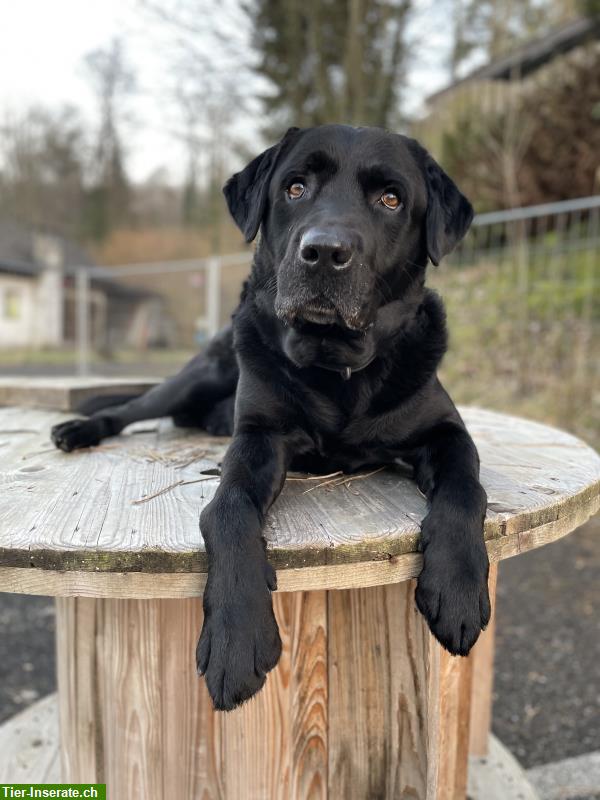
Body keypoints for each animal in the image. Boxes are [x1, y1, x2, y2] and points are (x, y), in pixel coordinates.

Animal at [51, 125, 490, 712]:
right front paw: (237, 637)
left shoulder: (447, 431)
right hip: (200, 373)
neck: (334, 369)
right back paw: (78, 429)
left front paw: (458, 586)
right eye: (295, 187)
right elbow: (228, 508)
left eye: (391, 199)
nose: (323, 252)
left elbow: (466, 488)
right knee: (131, 408)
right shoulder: (257, 438)